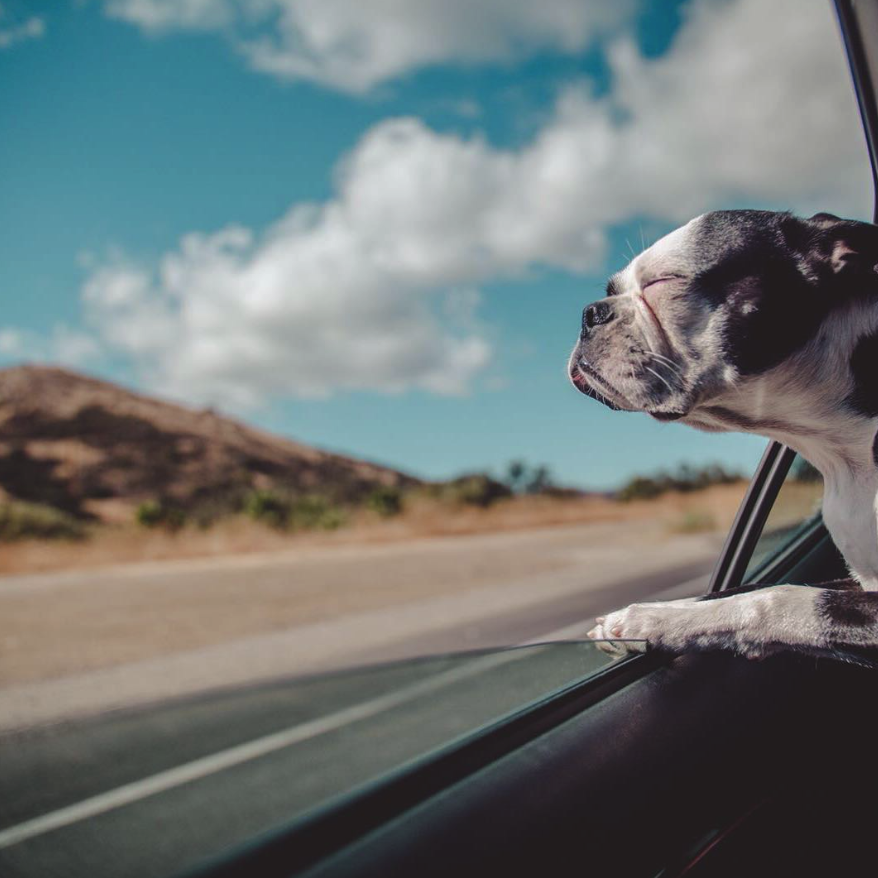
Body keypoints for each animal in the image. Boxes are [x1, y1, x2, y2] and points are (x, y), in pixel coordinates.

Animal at [570, 209, 878, 660]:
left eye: (663, 282)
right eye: (610, 291)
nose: (590, 313)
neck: (841, 451)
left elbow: (777, 597)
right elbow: (737, 588)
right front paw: (653, 615)